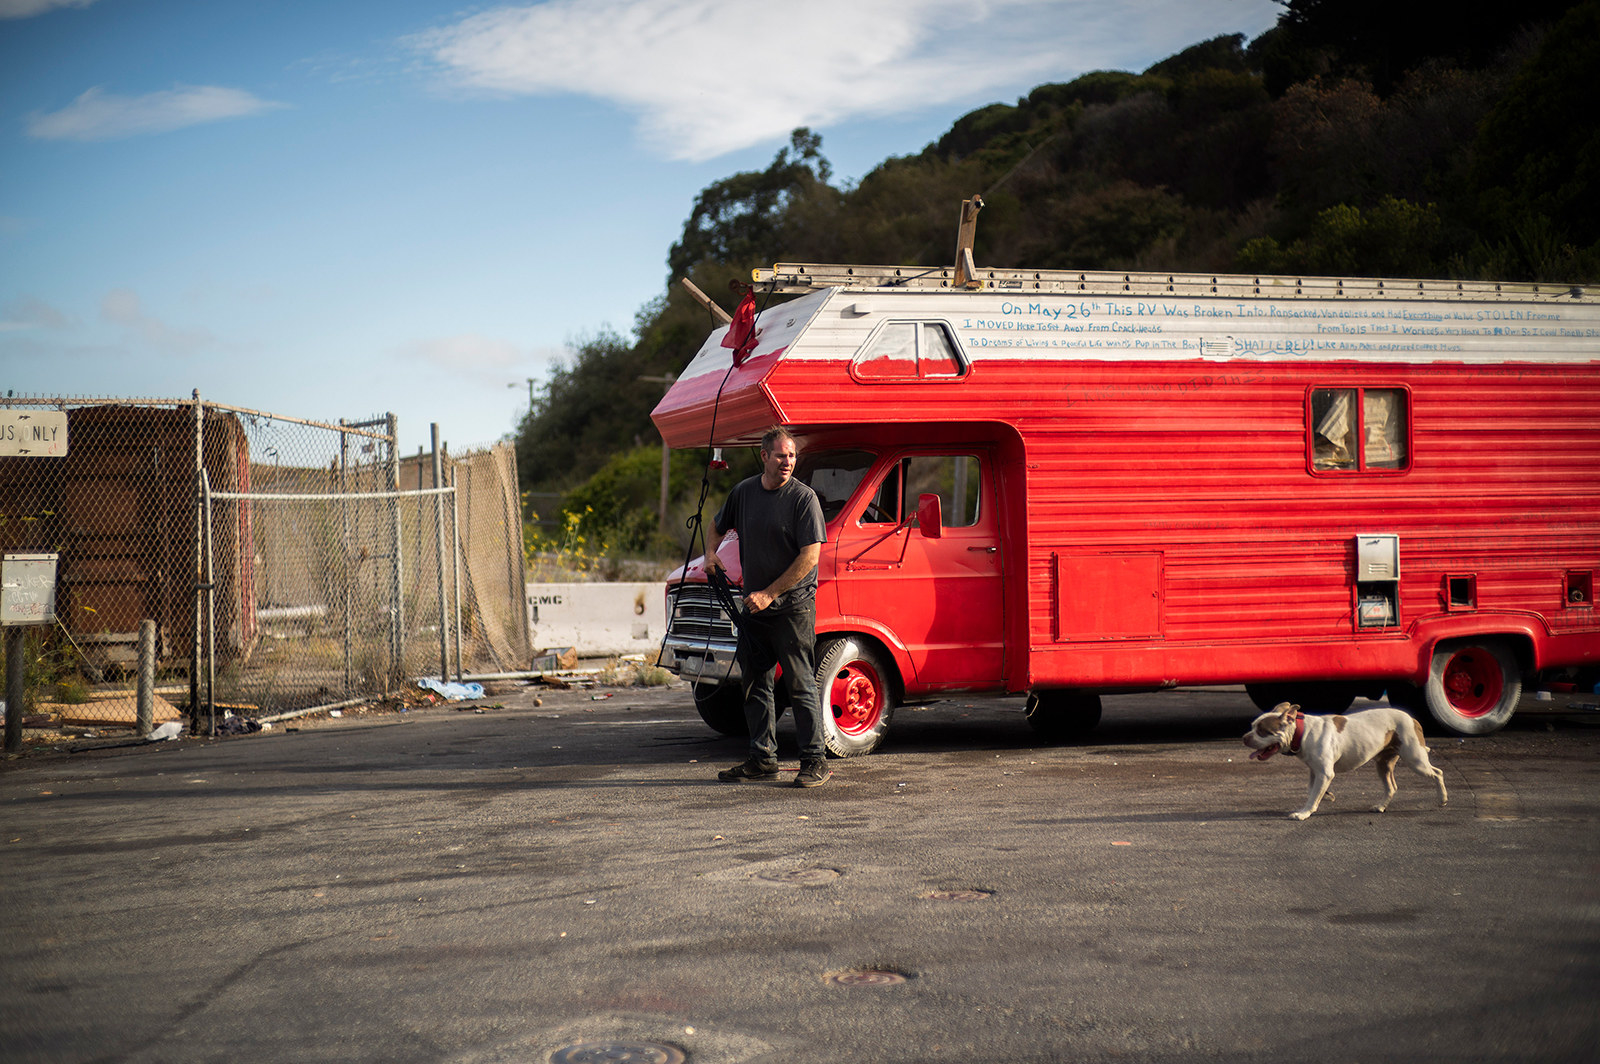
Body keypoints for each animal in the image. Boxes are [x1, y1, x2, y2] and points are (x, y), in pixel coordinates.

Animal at [1235, 700, 1452, 816]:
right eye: (1252, 726)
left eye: (1262, 731)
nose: (1244, 737)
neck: (1302, 732)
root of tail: (1412, 718)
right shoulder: (1315, 771)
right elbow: (1311, 789)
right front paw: (1324, 796)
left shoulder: (1324, 773)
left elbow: (1313, 795)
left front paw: (1305, 813)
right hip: (1383, 764)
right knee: (1391, 787)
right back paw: (1381, 806)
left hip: (1415, 760)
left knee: (1438, 773)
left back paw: (1442, 799)